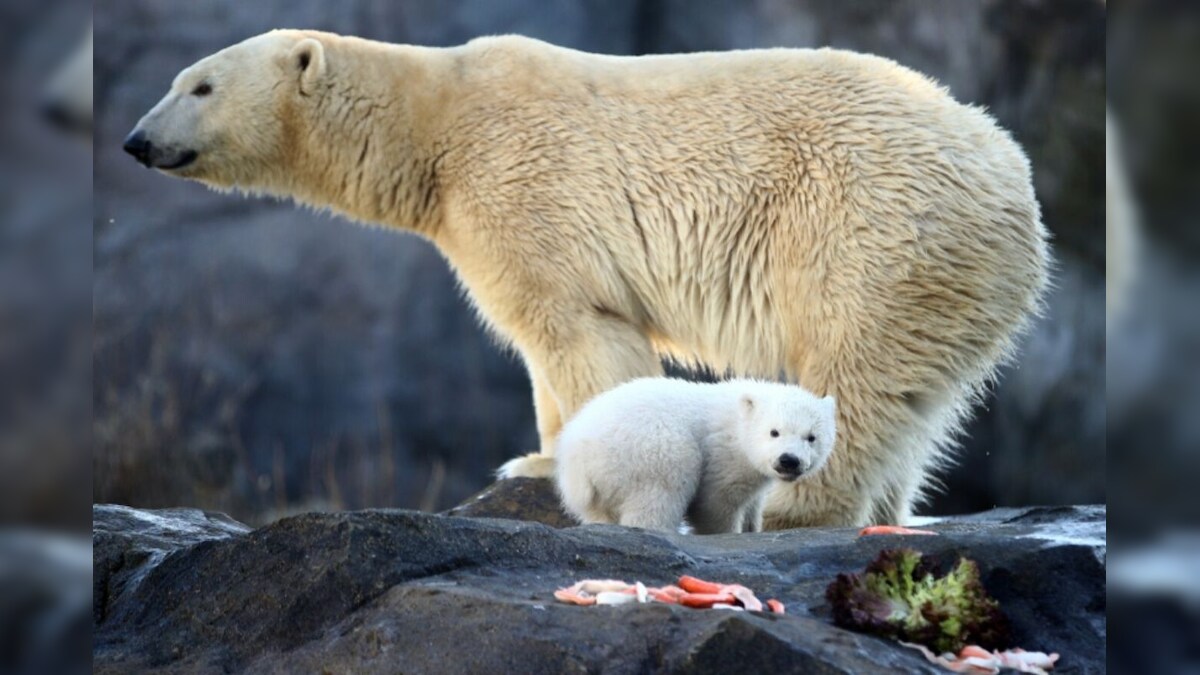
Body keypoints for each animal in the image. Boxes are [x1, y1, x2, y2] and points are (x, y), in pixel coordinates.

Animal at [555, 378, 836, 534]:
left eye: (811, 437)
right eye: (774, 432)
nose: (789, 460)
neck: (740, 417)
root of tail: (577, 455)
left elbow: (752, 504)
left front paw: (751, 527)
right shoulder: (724, 453)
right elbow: (716, 503)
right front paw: (728, 533)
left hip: (596, 494)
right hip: (651, 449)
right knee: (662, 492)